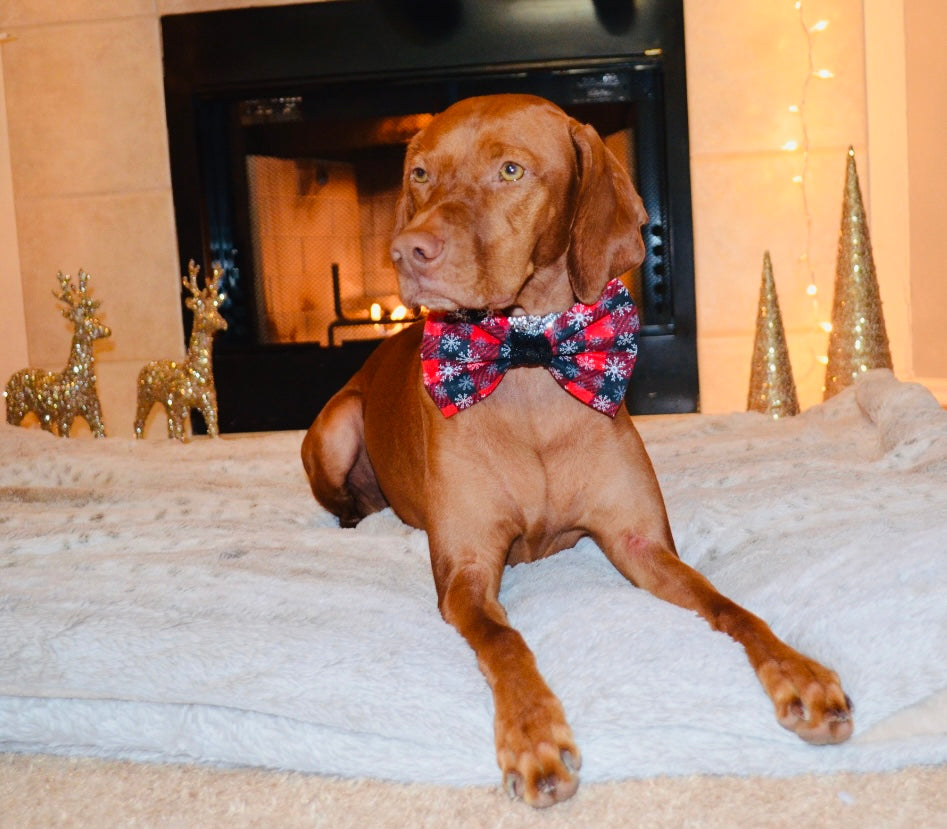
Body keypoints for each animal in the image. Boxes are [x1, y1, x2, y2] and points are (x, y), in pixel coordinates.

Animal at [304, 94, 852, 804]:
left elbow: (731, 608)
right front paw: (533, 734)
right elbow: (506, 642)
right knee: (347, 499)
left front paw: (799, 671)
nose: (406, 251)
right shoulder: (466, 574)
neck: (530, 358)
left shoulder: (641, 545)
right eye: (420, 174)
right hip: (337, 424)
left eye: (511, 170)